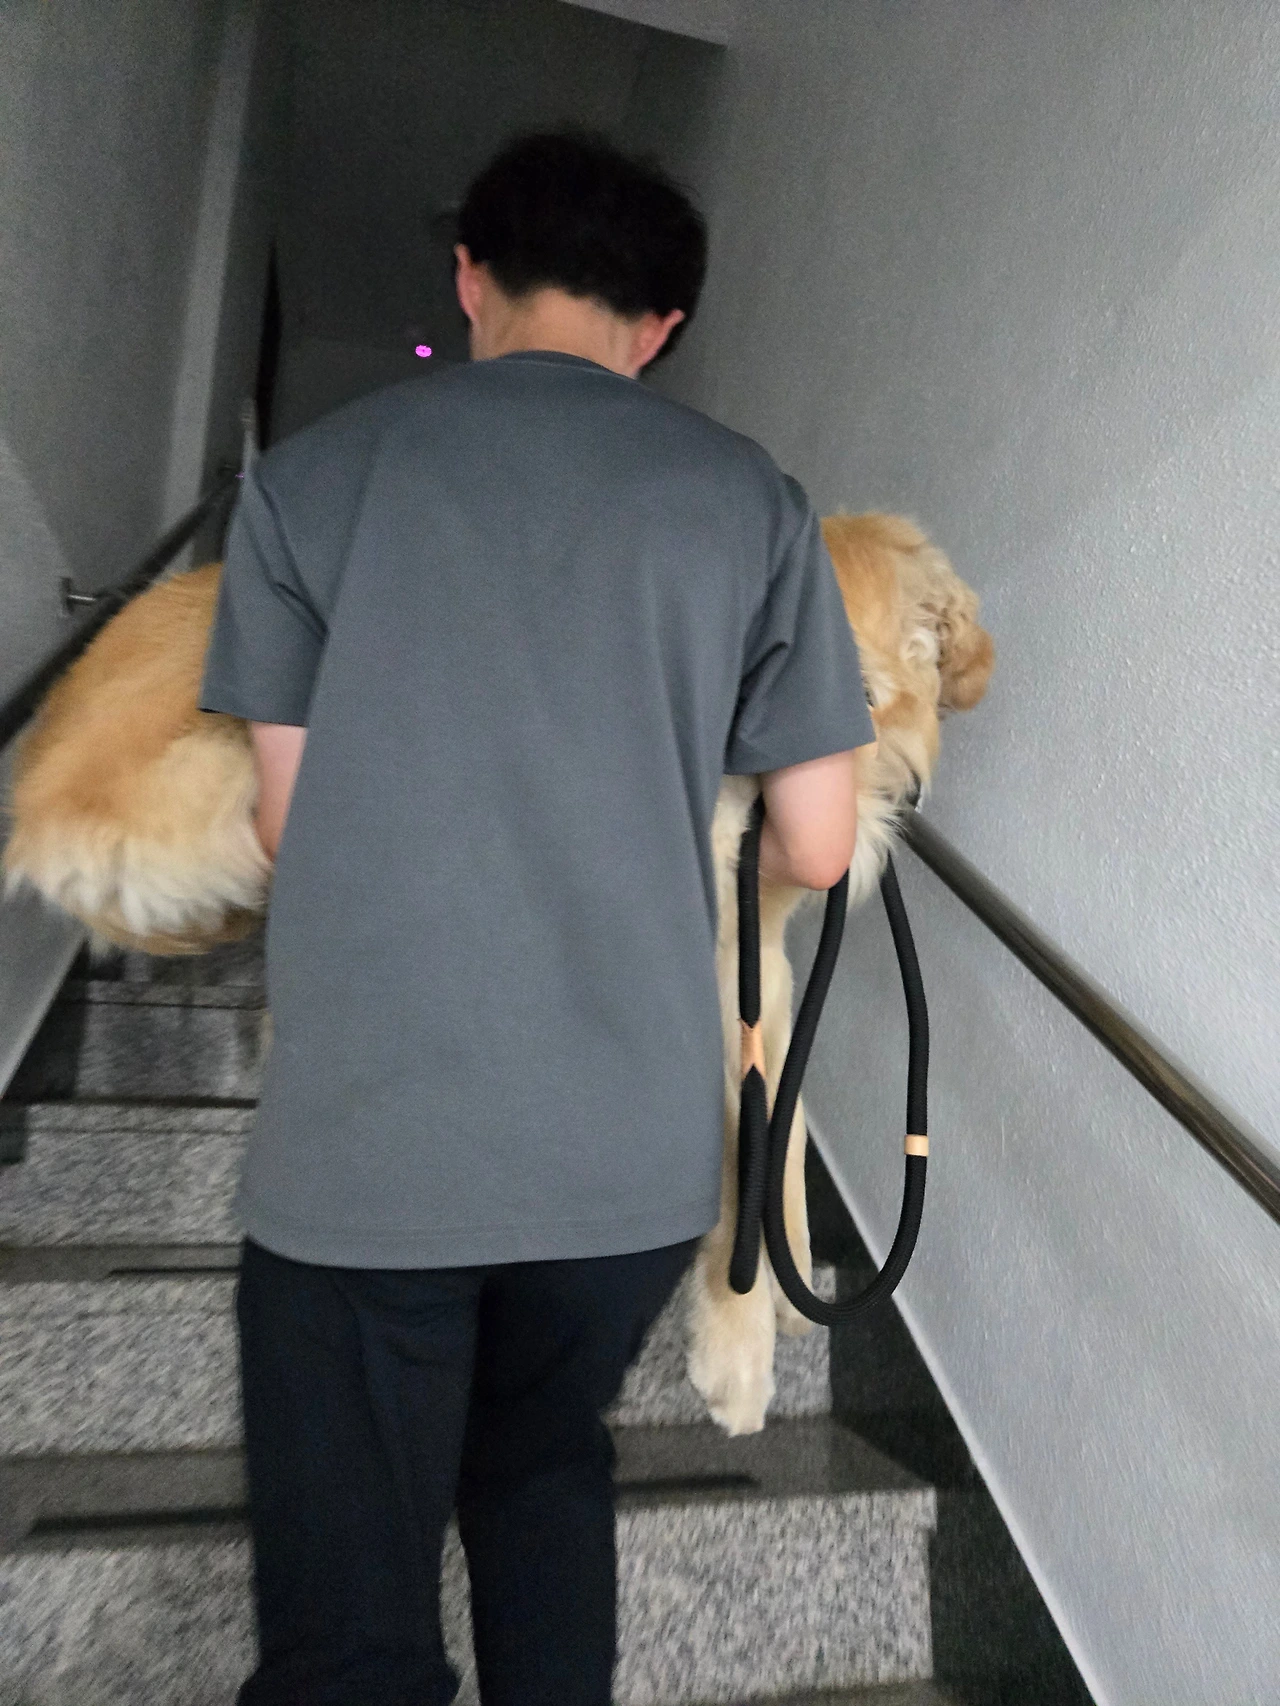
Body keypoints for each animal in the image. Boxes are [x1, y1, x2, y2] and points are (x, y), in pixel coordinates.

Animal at [4, 512, 993, 1432]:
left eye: (883, 687)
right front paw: (736, 1350)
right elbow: (735, 1161)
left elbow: (779, 1142)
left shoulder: (765, 965)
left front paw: (783, 1291)